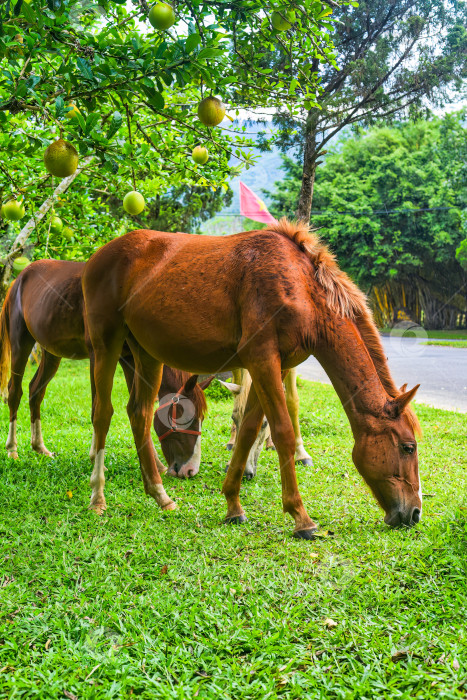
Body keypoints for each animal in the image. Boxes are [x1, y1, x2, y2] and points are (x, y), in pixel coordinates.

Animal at [0, 260, 210, 484]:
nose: (190, 470)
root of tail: (18, 280)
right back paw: (12, 449)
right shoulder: (98, 356)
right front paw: (96, 458)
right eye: (185, 418)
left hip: (50, 352)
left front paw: (155, 464)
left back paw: (39, 447)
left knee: (35, 391)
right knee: (15, 392)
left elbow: (140, 411)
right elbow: (97, 408)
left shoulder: (130, 359)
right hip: (20, 343)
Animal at [82, 221, 422, 540]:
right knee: (102, 414)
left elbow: (248, 430)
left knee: (139, 413)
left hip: (147, 353)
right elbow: (283, 432)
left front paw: (233, 505)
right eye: (408, 447)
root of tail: (97, 256)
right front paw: (301, 517)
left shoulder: (274, 366)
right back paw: (97, 498)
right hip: (106, 344)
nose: (415, 513)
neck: (301, 286)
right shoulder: (262, 360)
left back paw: (160, 495)